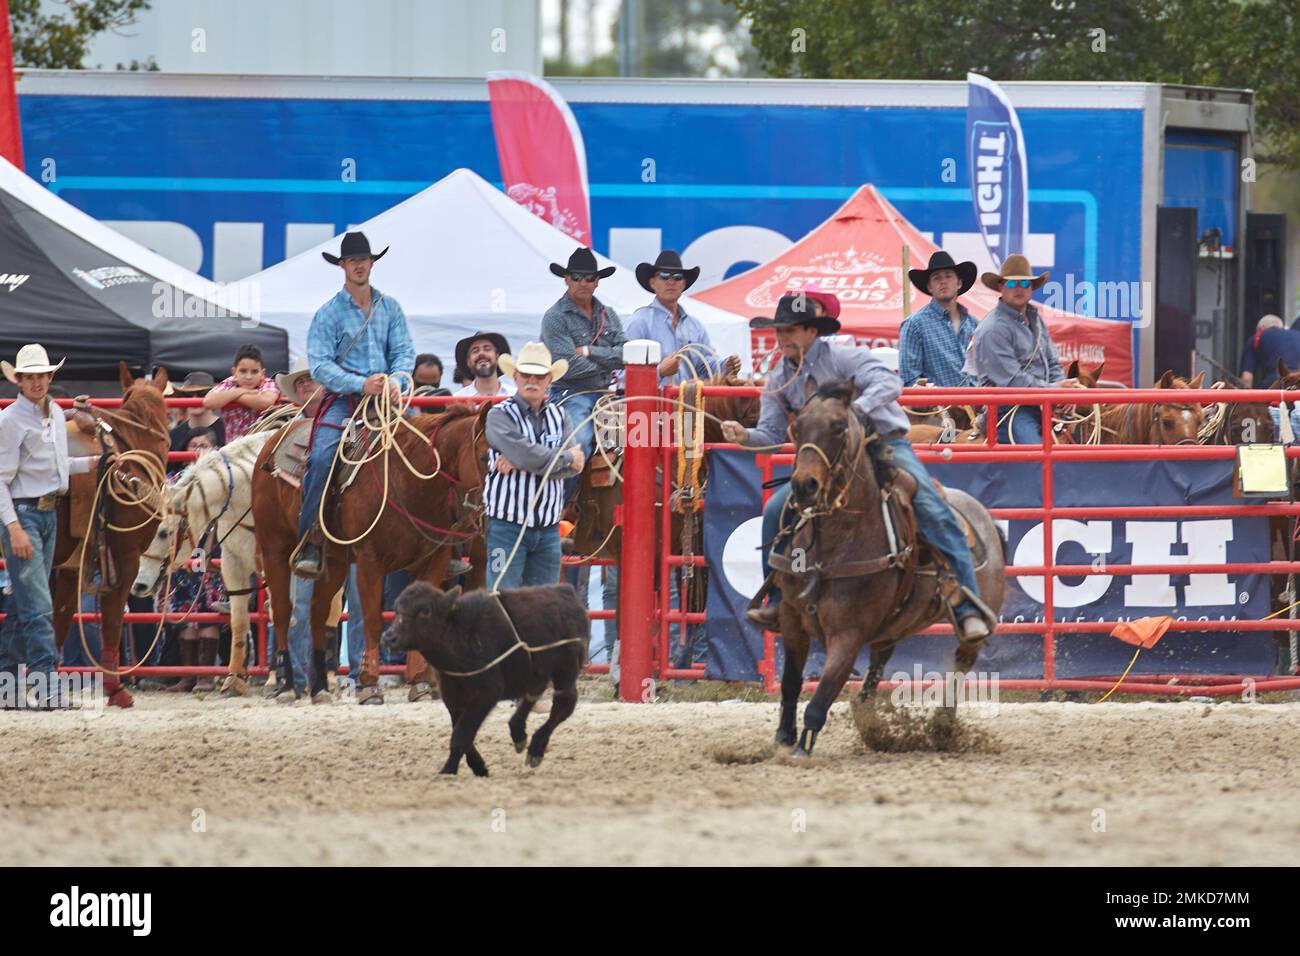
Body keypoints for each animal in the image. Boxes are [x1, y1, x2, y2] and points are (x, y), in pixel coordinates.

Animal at [253, 400, 491, 707]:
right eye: (485, 456)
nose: (483, 512)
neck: (408, 481)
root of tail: (272, 441)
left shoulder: (432, 560)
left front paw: (420, 682)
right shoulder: (370, 561)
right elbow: (373, 621)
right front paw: (369, 685)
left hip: (335, 561)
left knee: (318, 614)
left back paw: (320, 686)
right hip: (274, 547)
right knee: (283, 611)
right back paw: (284, 683)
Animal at [769, 377, 1003, 759]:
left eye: (838, 427)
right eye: (796, 425)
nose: (804, 485)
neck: (835, 543)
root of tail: (983, 514)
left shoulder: (849, 634)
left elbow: (824, 692)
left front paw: (802, 749)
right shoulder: (792, 618)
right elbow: (791, 682)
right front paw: (783, 737)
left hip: (970, 630)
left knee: (959, 667)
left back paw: (942, 727)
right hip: (892, 626)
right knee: (876, 669)